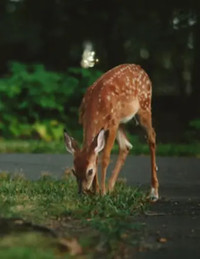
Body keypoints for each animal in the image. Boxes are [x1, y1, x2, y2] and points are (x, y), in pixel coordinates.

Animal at [63, 64, 159, 202]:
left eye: (90, 171)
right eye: (74, 171)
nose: (82, 192)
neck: (95, 107)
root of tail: (140, 68)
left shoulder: (112, 124)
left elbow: (105, 158)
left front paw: (101, 192)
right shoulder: (88, 122)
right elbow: (96, 155)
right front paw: (96, 191)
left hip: (144, 106)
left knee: (151, 136)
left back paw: (154, 192)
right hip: (121, 120)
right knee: (126, 145)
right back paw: (110, 188)